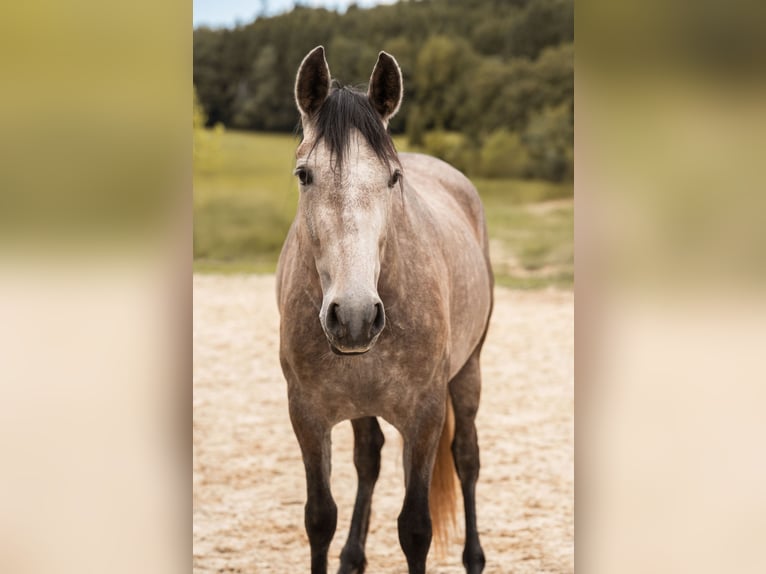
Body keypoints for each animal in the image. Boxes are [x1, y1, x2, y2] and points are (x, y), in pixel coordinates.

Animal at [276, 46, 494, 574]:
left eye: (393, 178)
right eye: (304, 174)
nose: (354, 316)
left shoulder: (423, 417)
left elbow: (415, 528)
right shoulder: (307, 416)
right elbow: (319, 518)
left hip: (469, 373)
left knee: (467, 458)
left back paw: (474, 558)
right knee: (368, 458)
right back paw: (353, 557)